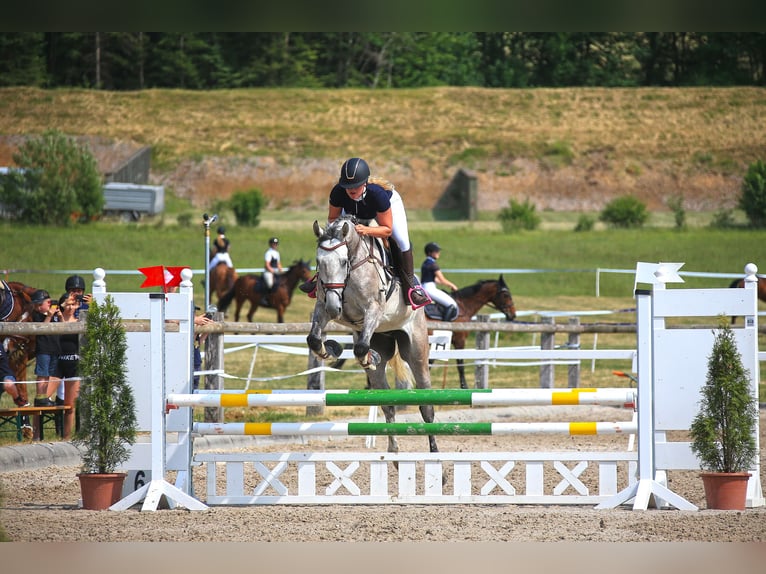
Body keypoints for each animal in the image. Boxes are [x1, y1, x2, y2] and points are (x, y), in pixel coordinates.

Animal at [306, 218, 438, 456]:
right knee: (387, 403)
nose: (333, 308)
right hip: (381, 340)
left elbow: (359, 348)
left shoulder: (373, 309)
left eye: (343, 262)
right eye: (319, 262)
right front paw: (329, 350)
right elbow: (314, 338)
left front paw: (365, 356)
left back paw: (435, 455)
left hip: (416, 349)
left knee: (426, 405)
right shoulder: (323, 305)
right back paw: (393, 451)